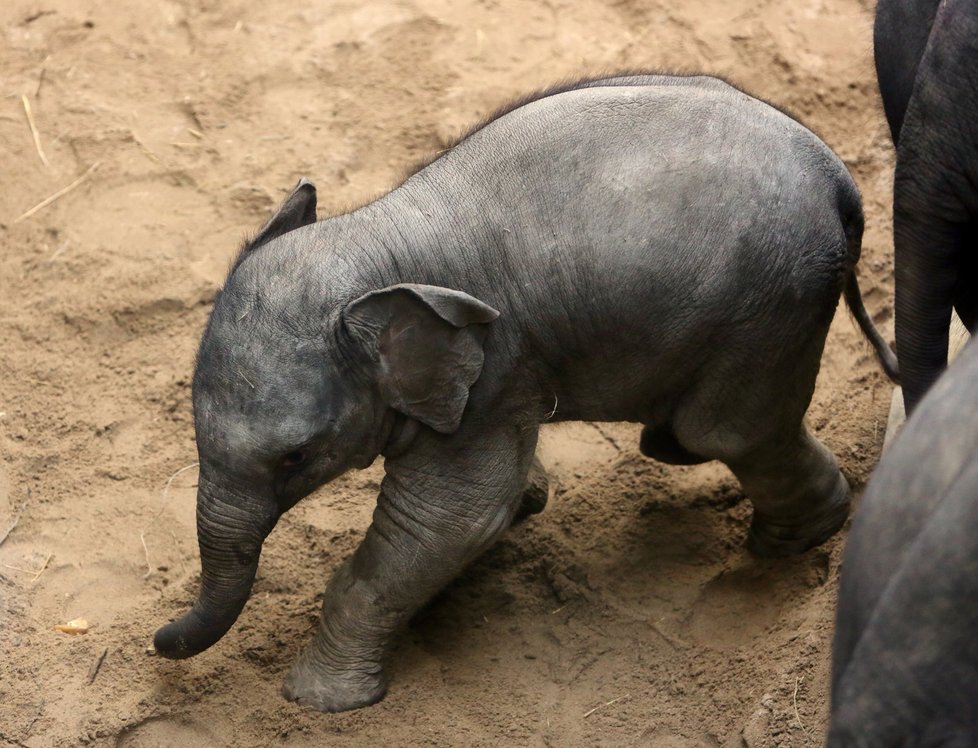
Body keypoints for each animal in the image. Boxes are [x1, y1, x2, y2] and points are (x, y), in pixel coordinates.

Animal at [151, 74, 892, 712]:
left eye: (295, 457)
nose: (157, 640)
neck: (378, 240)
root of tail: (840, 181)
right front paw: (529, 504)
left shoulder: (491, 368)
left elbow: (450, 517)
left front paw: (316, 703)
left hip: (768, 310)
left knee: (735, 431)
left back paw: (785, 546)